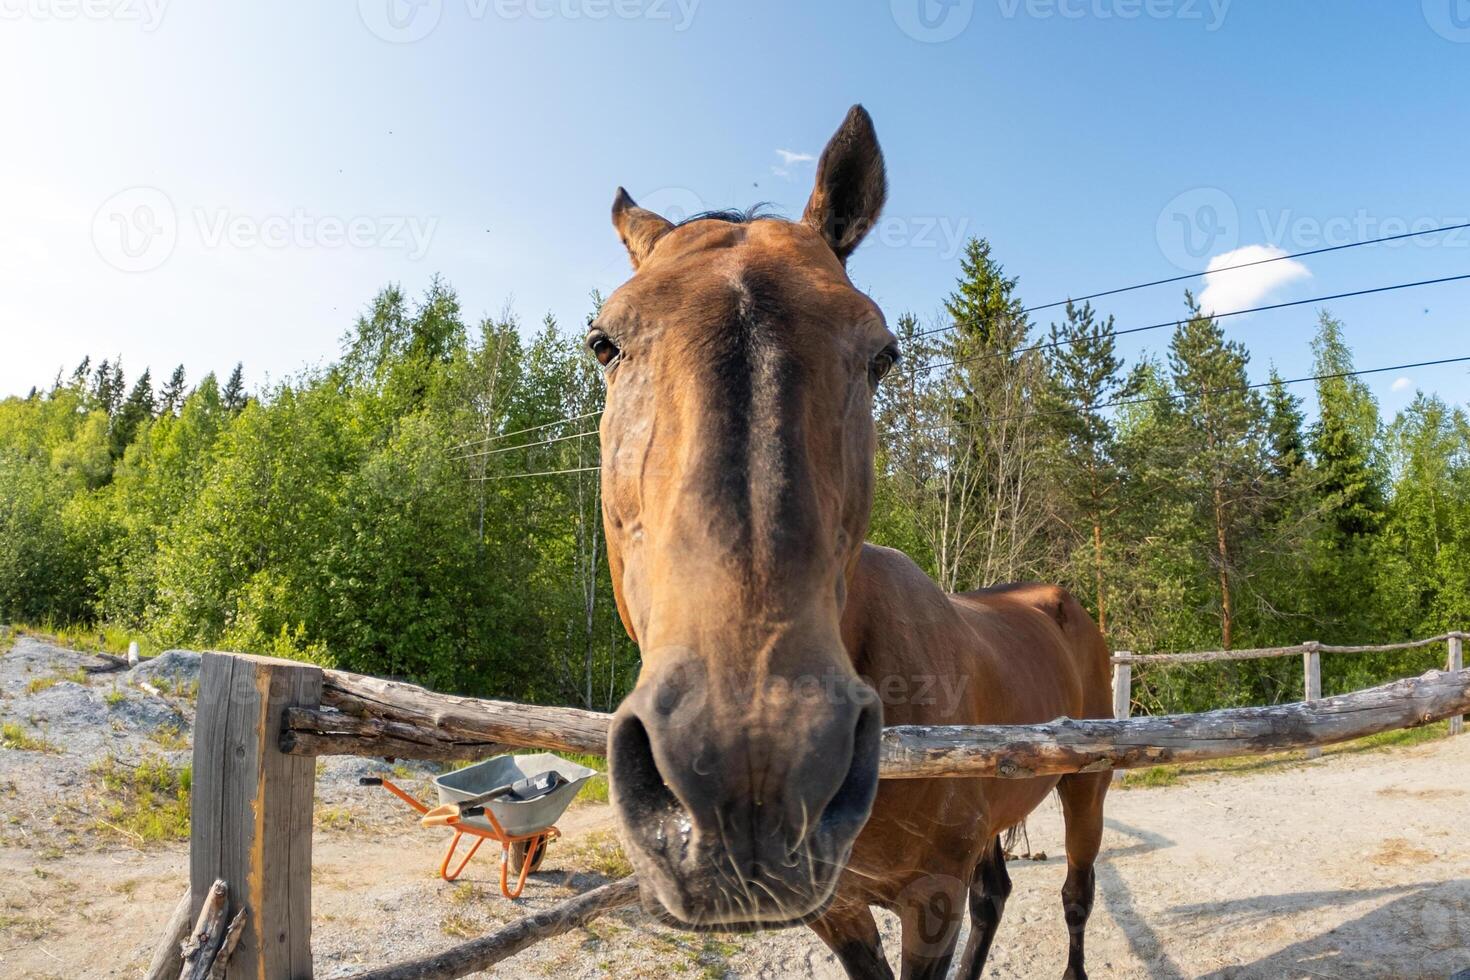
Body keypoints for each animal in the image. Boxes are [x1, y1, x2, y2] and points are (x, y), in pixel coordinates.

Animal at [590, 107, 1105, 980]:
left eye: (882, 353)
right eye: (604, 344)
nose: (752, 775)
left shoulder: (929, 898)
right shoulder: (838, 908)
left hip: (1086, 783)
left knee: (1075, 894)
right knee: (997, 891)